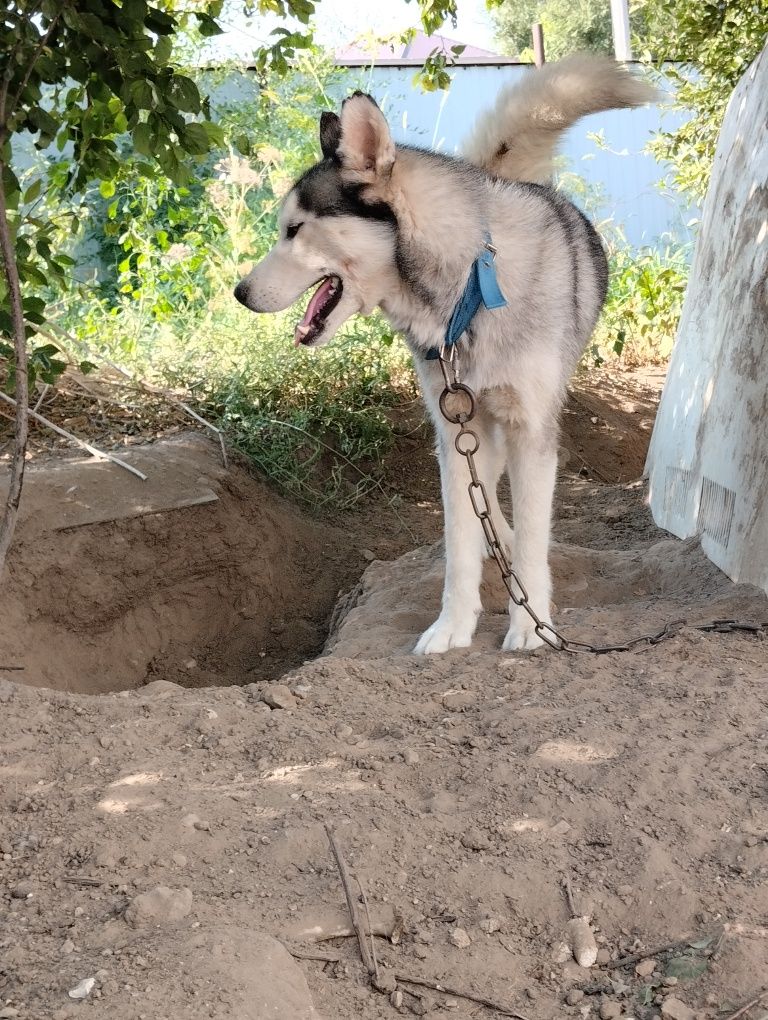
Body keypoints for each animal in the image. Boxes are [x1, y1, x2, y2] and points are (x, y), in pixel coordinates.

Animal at [233, 55, 652, 652]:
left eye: (294, 230)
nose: (239, 293)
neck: (470, 292)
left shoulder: (531, 429)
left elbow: (533, 536)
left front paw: (530, 626)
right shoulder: (454, 428)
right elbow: (458, 543)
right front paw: (453, 626)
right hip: (472, 427)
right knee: (489, 498)